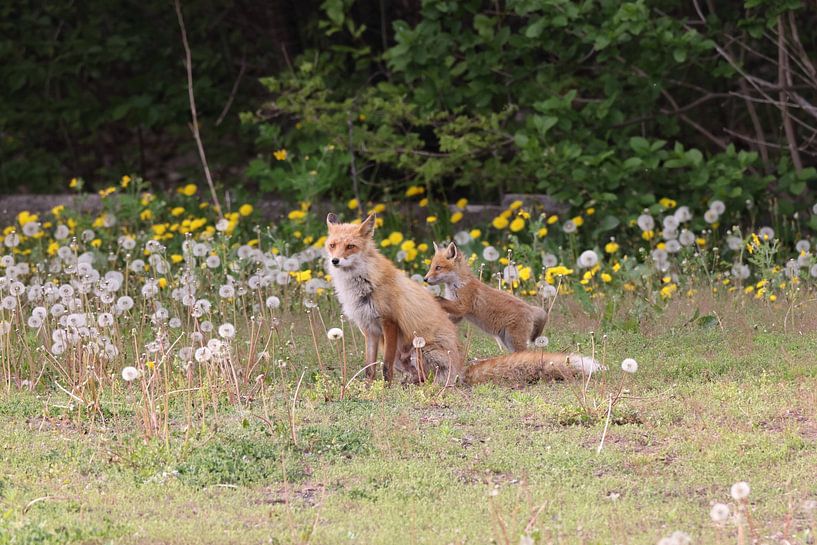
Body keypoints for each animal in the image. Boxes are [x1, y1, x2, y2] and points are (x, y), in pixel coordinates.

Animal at [324, 213, 601, 386]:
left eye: (350, 247)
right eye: (332, 245)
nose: (334, 261)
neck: (360, 286)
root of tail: (461, 370)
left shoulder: (389, 322)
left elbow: (385, 366)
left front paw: (385, 388)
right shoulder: (369, 329)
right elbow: (370, 366)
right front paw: (370, 387)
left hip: (422, 349)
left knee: (431, 378)